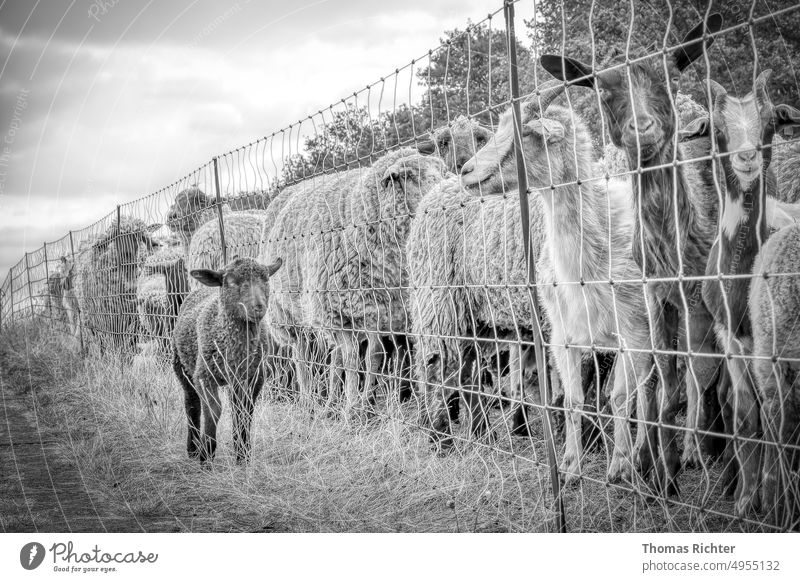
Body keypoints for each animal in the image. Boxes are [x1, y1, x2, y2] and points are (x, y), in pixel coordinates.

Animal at [171, 258, 282, 468]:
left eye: (265, 279)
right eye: (230, 281)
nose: (258, 307)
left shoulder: (253, 377)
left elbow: (243, 411)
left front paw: (243, 456)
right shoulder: (204, 376)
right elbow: (214, 410)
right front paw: (206, 457)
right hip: (182, 366)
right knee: (192, 404)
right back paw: (193, 449)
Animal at [266, 148, 446, 418]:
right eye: (408, 176)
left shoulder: (379, 310)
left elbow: (374, 357)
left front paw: (365, 406)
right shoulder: (338, 311)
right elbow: (352, 360)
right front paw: (352, 408)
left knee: (335, 356)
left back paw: (331, 402)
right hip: (288, 313)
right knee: (302, 354)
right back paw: (308, 400)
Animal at [536, 13, 732, 498]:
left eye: (671, 75)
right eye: (601, 90)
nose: (640, 128)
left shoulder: (689, 302)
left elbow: (681, 380)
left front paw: (659, 464)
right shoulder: (642, 306)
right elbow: (649, 386)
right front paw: (645, 467)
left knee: (708, 374)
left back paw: (704, 451)